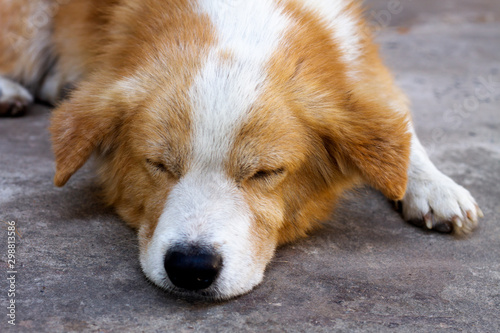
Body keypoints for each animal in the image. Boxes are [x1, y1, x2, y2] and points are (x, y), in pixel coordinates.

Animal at [0, 0, 484, 300]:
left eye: (265, 172)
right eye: (158, 164)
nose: (191, 267)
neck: (243, 23)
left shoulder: (366, 71)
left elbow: (398, 131)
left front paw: (435, 187)